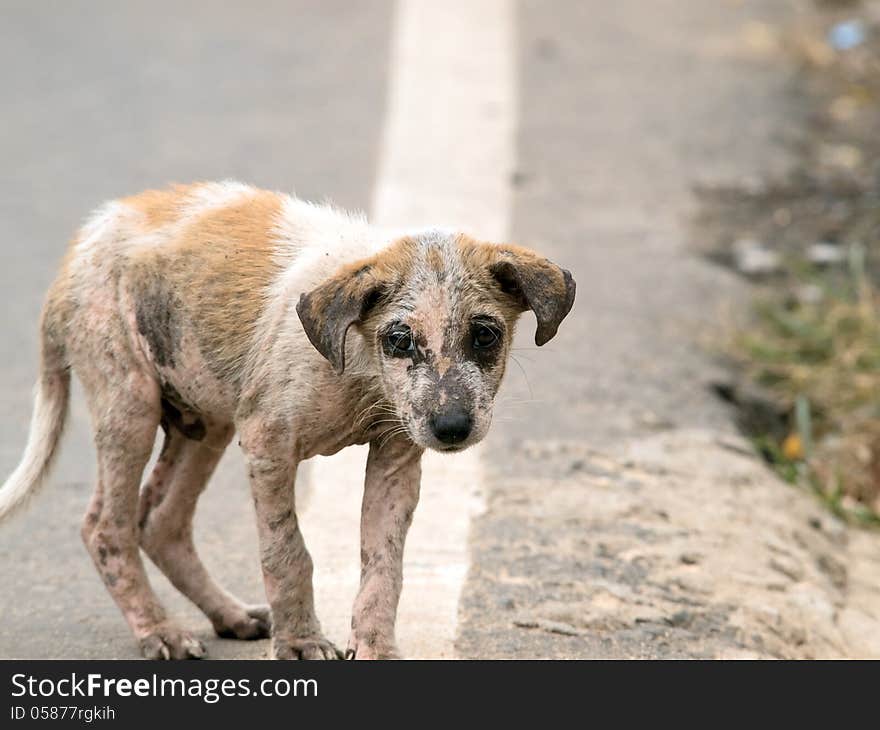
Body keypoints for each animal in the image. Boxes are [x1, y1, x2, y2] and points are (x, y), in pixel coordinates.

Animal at [0, 179, 576, 656]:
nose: (453, 428)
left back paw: (229, 616)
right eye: (399, 339)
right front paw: (300, 641)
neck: (357, 364)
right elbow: (287, 551)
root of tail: (78, 250)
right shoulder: (268, 445)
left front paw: (374, 648)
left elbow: (383, 568)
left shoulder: (396, 459)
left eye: (485, 335)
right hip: (131, 406)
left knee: (159, 522)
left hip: (205, 422)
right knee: (106, 528)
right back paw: (160, 631)